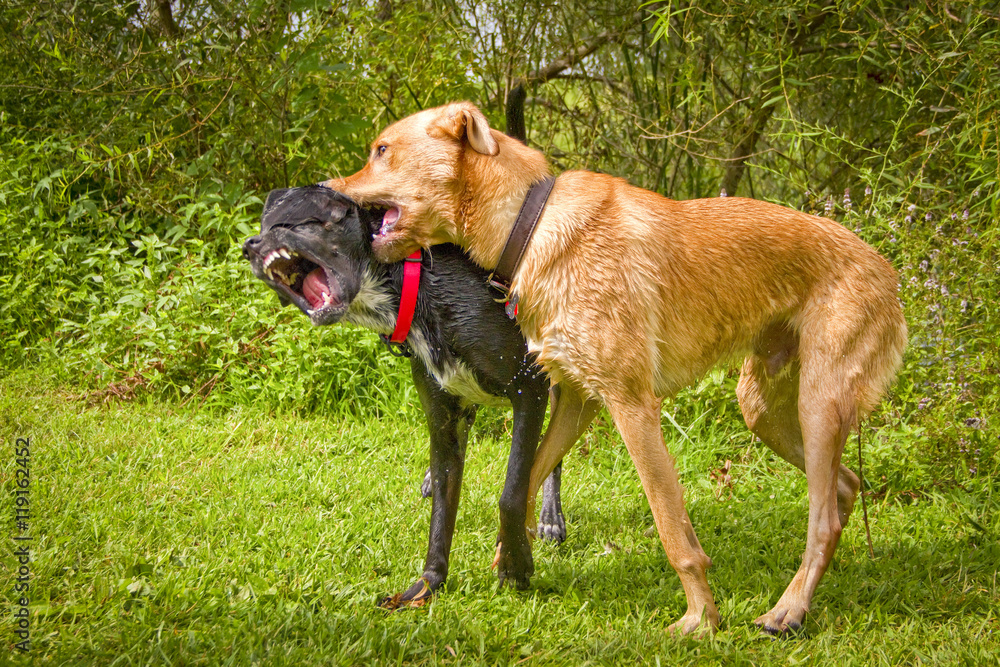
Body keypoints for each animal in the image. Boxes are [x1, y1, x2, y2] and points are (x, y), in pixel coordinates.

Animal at [242, 187, 568, 604]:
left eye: (288, 224)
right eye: (263, 226)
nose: (249, 246)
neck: (416, 286)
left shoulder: (529, 386)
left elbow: (512, 489)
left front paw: (514, 564)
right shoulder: (444, 415)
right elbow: (442, 513)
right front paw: (428, 584)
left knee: (553, 451)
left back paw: (550, 518)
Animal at [328, 100, 908, 636]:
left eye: (381, 150)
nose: (328, 190)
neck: (529, 222)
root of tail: (889, 269)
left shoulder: (630, 406)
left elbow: (674, 532)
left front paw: (701, 619)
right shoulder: (576, 399)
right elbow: (524, 481)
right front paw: (512, 557)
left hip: (818, 405)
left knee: (824, 520)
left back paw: (788, 610)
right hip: (763, 409)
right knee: (844, 487)